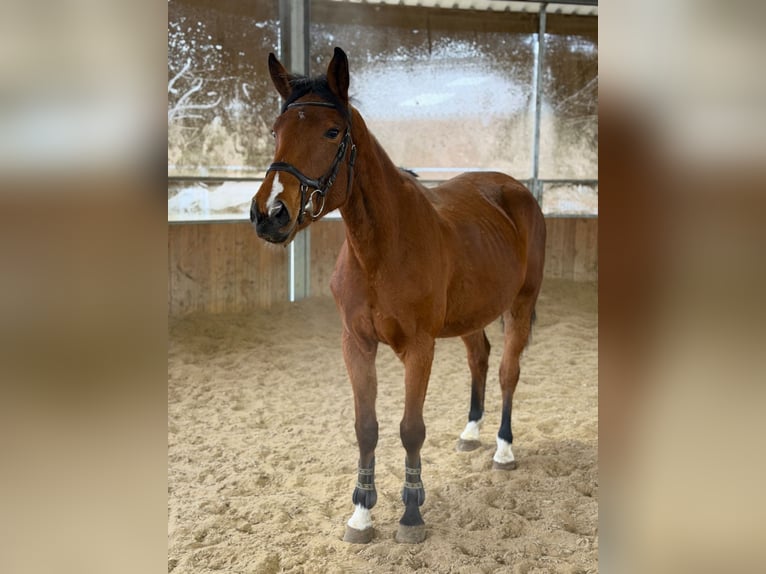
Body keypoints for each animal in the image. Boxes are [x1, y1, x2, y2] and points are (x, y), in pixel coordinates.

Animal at [250, 47, 546, 544]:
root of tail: (515, 189)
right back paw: (471, 432)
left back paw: (503, 450)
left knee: (508, 371)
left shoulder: (420, 348)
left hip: (521, 304)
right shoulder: (356, 344)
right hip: (470, 316)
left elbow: (410, 429)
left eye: (332, 132)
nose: (270, 214)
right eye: (277, 130)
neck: (381, 250)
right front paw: (361, 514)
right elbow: (366, 428)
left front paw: (410, 513)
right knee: (480, 358)